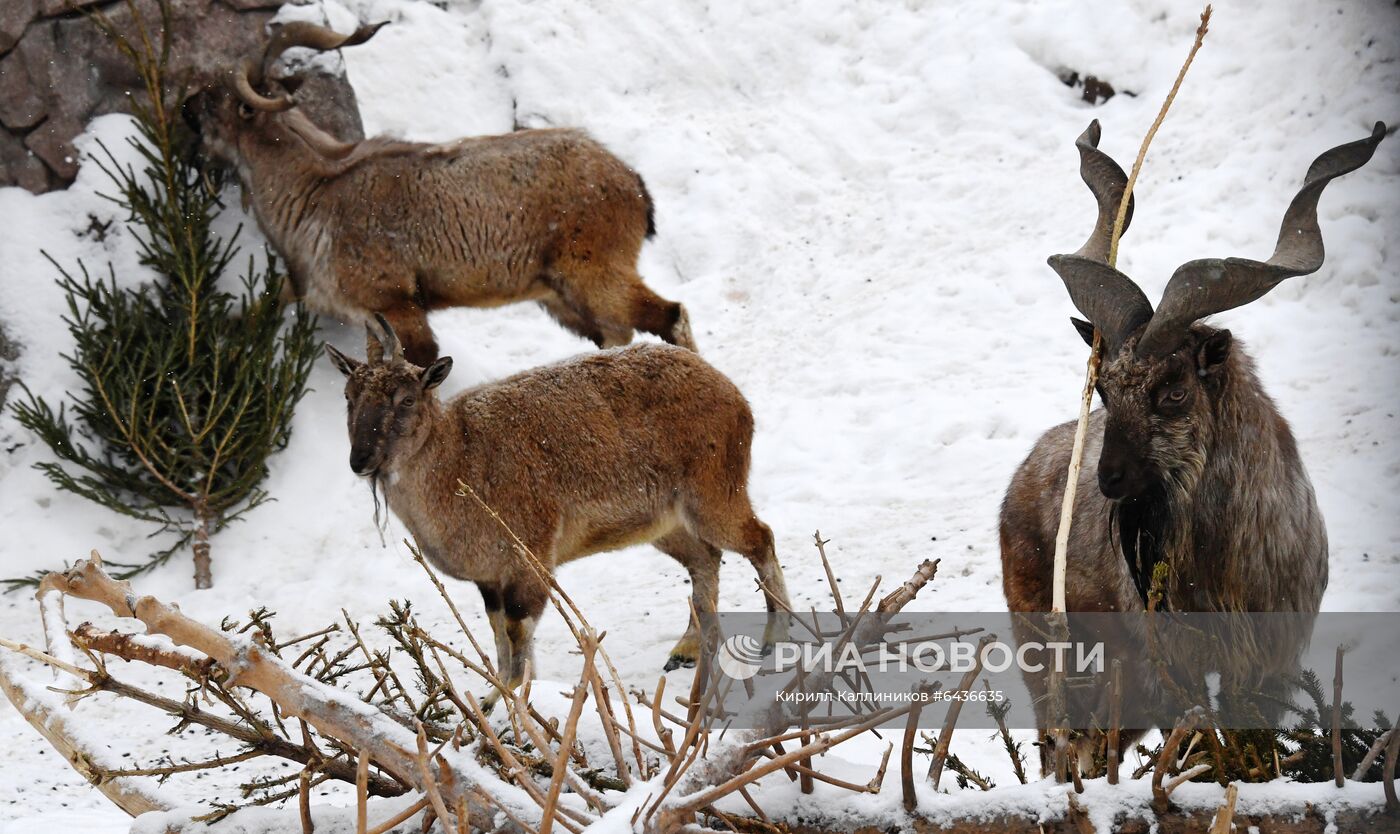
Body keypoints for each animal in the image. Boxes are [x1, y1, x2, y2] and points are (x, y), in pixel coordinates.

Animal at [191, 19, 694, 363]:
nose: (184, 108)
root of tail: (632, 183)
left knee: (670, 316)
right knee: (618, 336)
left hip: (594, 274)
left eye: (216, 97)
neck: (314, 192)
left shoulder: (396, 303)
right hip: (562, 298)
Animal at [324, 317, 789, 691]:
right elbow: (499, 635)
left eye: (406, 399)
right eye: (349, 396)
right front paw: (503, 693)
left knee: (759, 538)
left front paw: (509, 701)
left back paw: (775, 637)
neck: (459, 458)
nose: (360, 460)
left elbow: (518, 632)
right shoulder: (489, 578)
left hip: (713, 493)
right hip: (664, 522)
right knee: (704, 558)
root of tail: (733, 395)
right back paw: (689, 648)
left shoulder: (530, 556)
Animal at [1002, 122, 1383, 750]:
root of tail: (1021, 477)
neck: (1231, 562)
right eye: (1104, 388)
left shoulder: (1267, 664)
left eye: (1175, 390)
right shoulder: (1171, 664)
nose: (1109, 479)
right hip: (1055, 648)